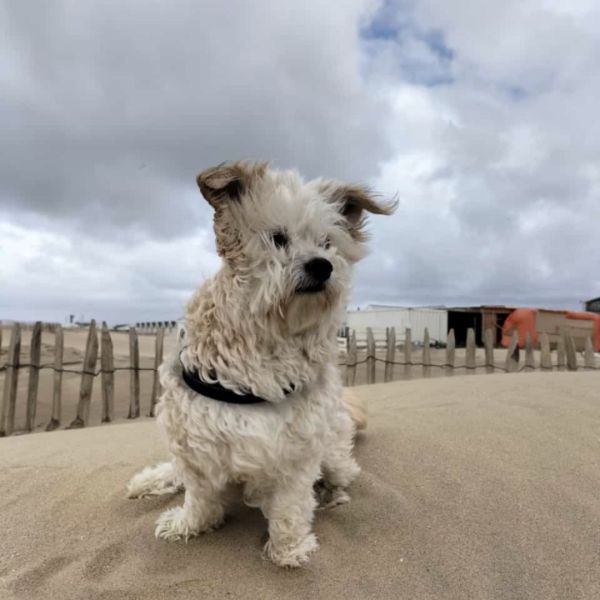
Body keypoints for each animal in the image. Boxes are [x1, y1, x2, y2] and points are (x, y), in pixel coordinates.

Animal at [126, 161, 394, 568]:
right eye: (278, 238)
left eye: (327, 243)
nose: (322, 266)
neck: (269, 337)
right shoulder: (195, 437)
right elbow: (199, 495)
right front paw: (188, 524)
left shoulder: (299, 447)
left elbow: (291, 505)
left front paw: (289, 548)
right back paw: (150, 480)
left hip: (333, 451)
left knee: (344, 472)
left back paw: (332, 495)